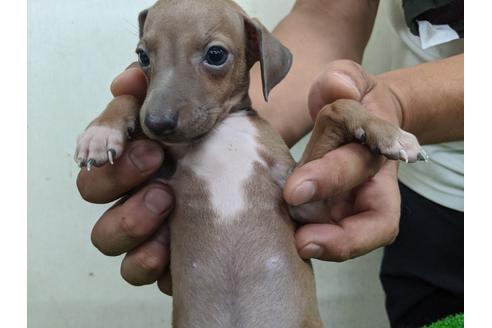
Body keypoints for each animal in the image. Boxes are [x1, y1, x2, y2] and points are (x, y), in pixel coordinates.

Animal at [75, 1, 424, 326]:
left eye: (216, 55)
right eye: (143, 57)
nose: (157, 124)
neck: (220, 131)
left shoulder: (306, 203)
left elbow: (335, 105)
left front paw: (388, 132)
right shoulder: (160, 180)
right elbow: (129, 97)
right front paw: (101, 131)